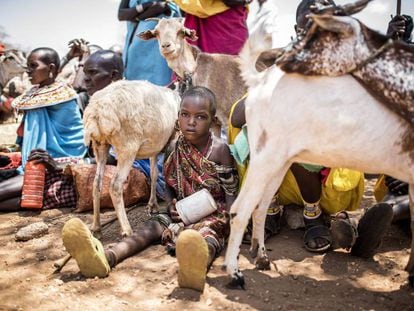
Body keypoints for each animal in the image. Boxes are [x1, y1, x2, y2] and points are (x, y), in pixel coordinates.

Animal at [84, 80, 180, 236]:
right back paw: (127, 229)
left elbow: (154, 173)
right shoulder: (173, 138)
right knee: (115, 185)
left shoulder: (154, 146)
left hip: (100, 145)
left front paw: (152, 204)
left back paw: (96, 226)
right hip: (127, 147)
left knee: (97, 182)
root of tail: (96, 112)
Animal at [225, 3, 414, 290]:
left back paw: (262, 257)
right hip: (265, 157)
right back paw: (234, 274)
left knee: (260, 207)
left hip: (279, 161)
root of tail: (261, 81)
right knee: (240, 210)